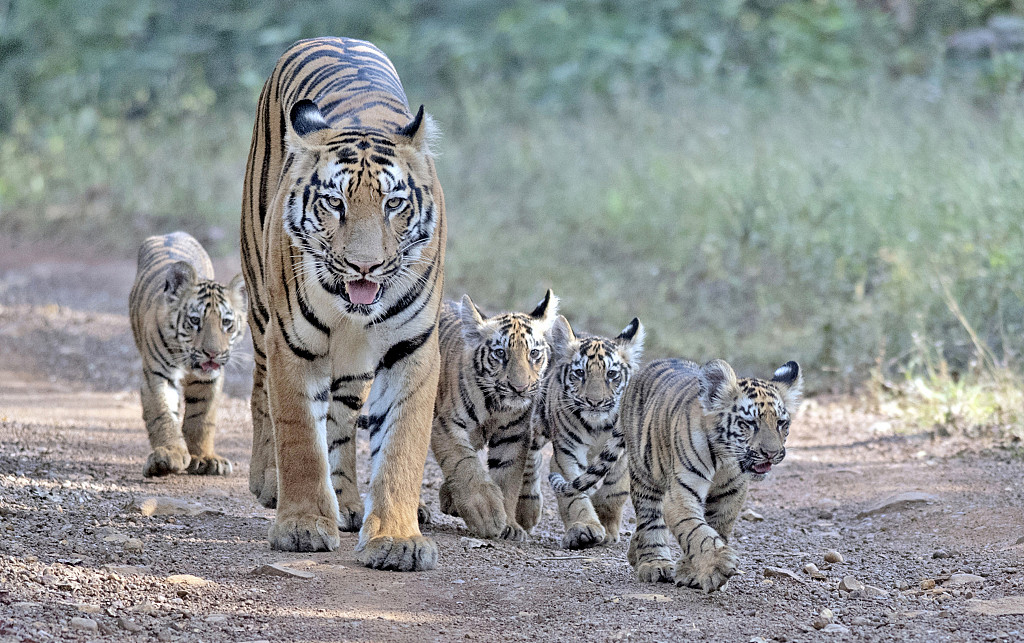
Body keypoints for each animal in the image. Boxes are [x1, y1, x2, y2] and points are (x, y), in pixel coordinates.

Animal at [241, 37, 450, 569]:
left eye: (393, 204)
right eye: (334, 203)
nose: (364, 267)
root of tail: (331, 37)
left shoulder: (413, 348)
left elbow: (400, 446)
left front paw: (397, 538)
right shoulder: (291, 344)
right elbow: (299, 435)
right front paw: (301, 526)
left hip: (355, 367)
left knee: (339, 419)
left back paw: (350, 501)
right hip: (259, 307)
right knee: (260, 392)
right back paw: (268, 483)